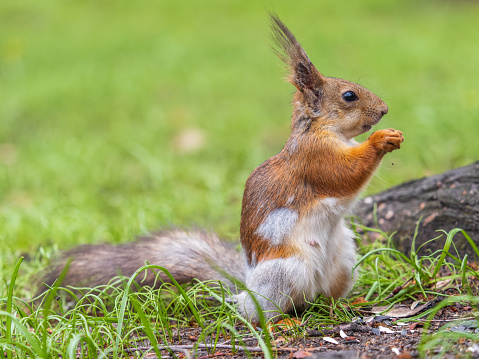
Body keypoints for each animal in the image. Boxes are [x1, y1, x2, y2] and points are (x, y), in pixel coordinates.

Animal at [39, 14, 404, 324]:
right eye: (349, 96)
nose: (385, 110)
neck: (324, 130)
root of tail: (245, 292)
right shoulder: (314, 159)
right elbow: (344, 174)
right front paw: (381, 139)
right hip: (287, 273)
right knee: (266, 312)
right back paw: (278, 321)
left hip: (343, 260)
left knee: (321, 296)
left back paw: (346, 303)